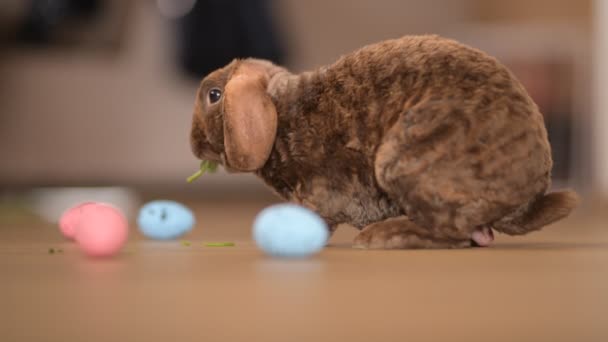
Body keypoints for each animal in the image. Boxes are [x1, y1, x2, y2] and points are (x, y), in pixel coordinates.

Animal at [190, 34, 580, 248]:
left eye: (213, 95)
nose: (193, 145)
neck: (281, 112)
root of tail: (530, 193)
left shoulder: (318, 193)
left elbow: (312, 216)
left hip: (402, 160)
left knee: (450, 230)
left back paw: (382, 236)